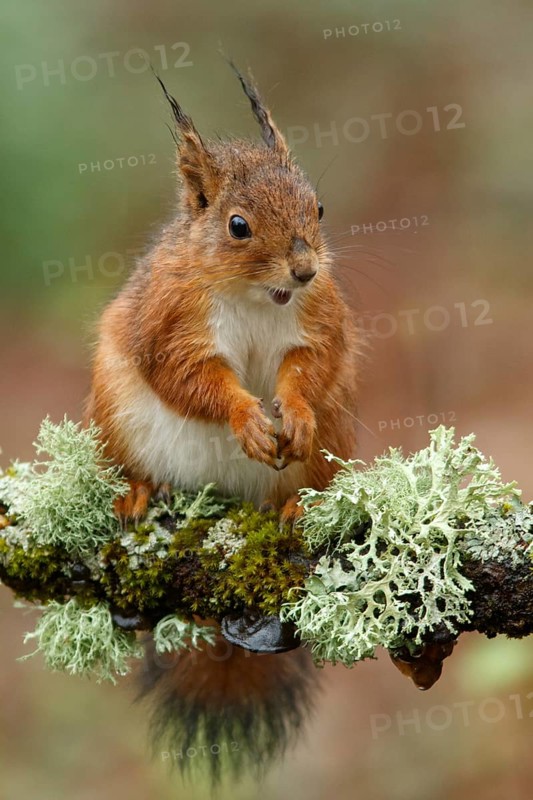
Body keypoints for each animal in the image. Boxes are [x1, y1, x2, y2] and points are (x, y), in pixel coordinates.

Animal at [84, 65, 360, 782]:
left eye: (319, 208)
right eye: (237, 225)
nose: (305, 269)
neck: (258, 295)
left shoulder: (318, 322)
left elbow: (307, 370)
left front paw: (289, 414)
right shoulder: (170, 324)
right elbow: (192, 380)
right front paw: (246, 418)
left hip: (335, 437)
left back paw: (296, 503)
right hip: (116, 413)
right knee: (136, 467)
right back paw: (138, 491)